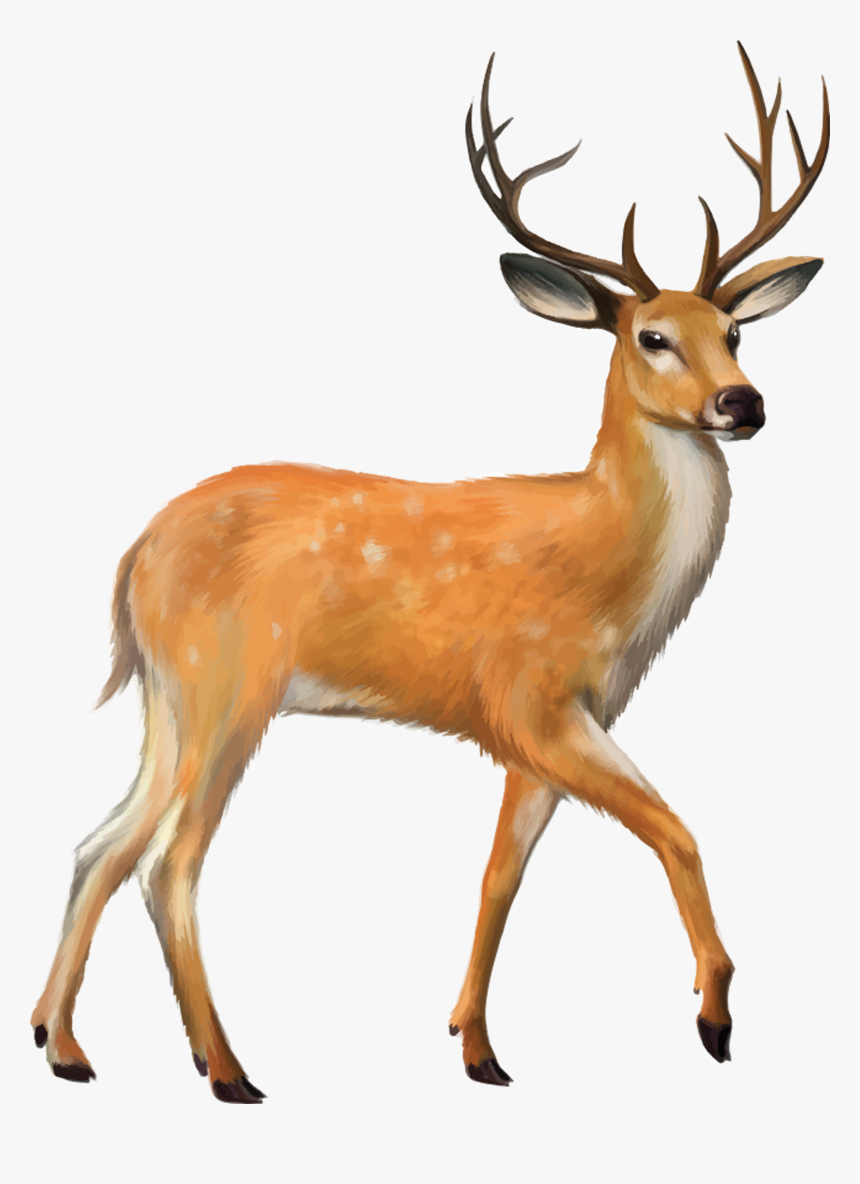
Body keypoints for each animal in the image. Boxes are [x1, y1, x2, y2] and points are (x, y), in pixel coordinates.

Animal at [32, 44, 829, 1102]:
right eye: (651, 337)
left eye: (735, 334)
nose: (744, 403)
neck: (608, 565)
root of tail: (131, 560)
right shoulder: (528, 697)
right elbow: (676, 829)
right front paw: (713, 1018)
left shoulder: (563, 720)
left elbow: (500, 874)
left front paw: (478, 1048)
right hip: (229, 684)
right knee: (171, 862)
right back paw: (229, 1071)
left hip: (168, 696)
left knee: (100, 845)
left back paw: (64, 1046)